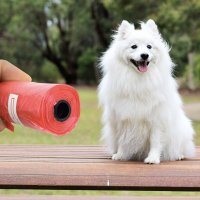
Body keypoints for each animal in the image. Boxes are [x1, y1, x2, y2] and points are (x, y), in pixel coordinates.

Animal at [98, 19, 195, 164]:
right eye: (134, 47)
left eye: (149, 47)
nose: (144, 55)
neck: (139, 79)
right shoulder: (122, 118)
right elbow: (123, 140)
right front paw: (120, 155)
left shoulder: (157, 119)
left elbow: (155, 141)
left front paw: (153, 158)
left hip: (182, 130)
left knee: (179, 147)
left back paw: (178, 155)